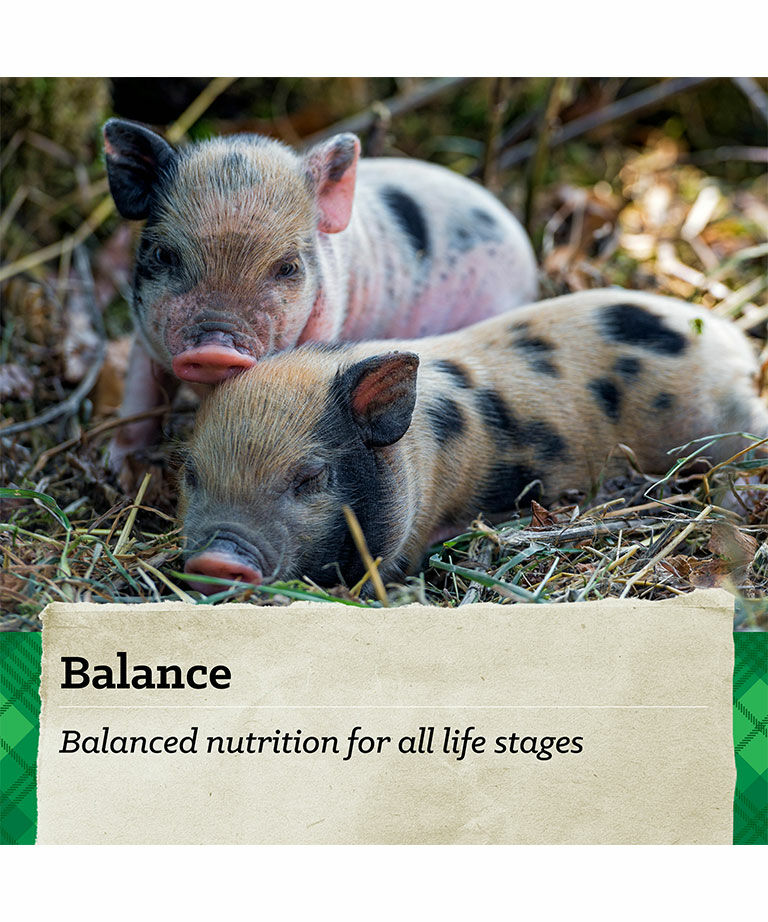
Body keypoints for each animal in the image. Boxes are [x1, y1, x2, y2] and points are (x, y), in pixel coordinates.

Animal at [102, 118, 538, 471]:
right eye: (164, 254)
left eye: (287, 267)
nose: (214, 346)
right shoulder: (143, 338)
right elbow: (138, 401)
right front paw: (116, 468)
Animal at [179, 289, 768, 593]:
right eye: (190, 474)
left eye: (310, 477)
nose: (217, 558)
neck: (420, 455)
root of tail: (732, 341)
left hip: (720, 421)